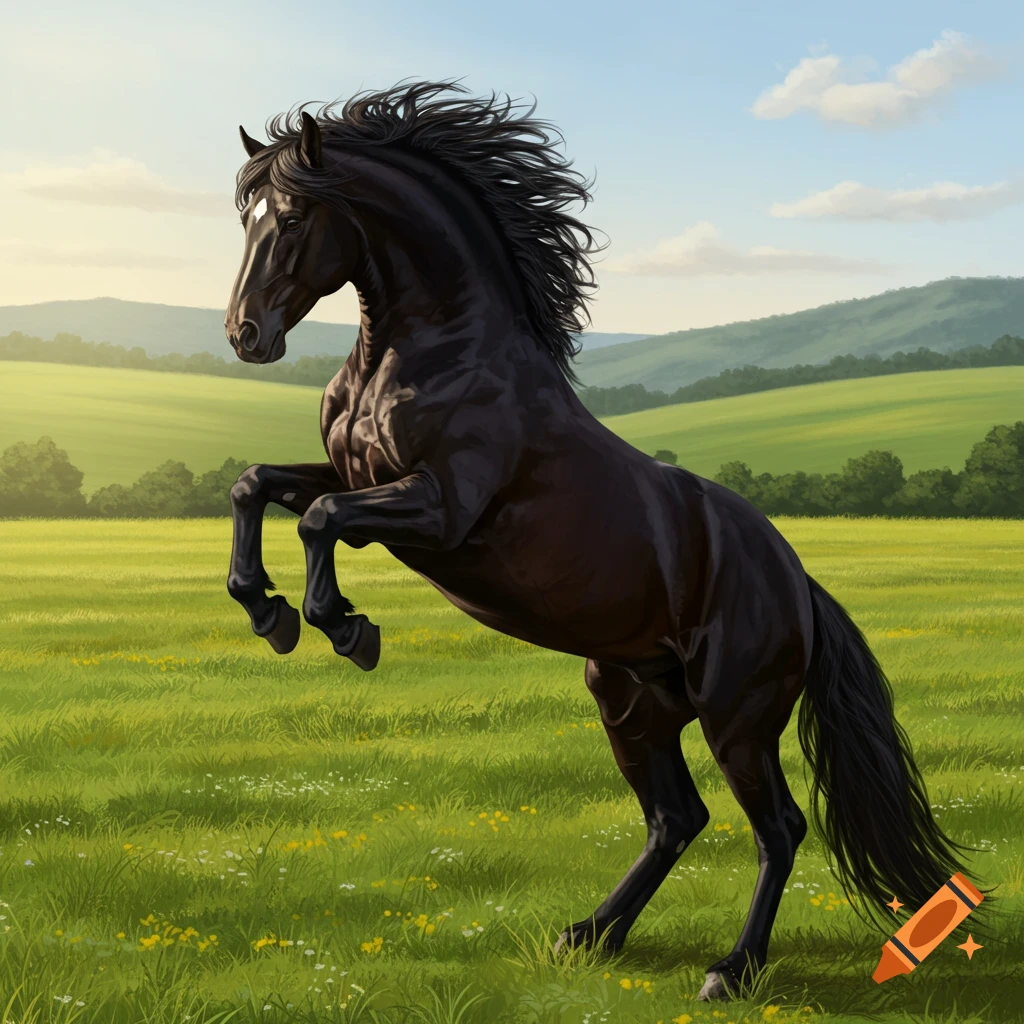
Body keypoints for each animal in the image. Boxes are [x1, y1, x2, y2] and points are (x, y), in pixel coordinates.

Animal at [223, 81, 980, 1000]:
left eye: (295, 216)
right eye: (246, 215)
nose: (244, 335)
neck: (427, 353)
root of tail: (799, 583)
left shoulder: (442, 511)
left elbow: (320, 517)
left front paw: (344, 628)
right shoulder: (354, 475)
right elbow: (257, 484)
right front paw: (268, 613)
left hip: (737, 714)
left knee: (779, 825)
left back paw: (730, 971)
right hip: (629, 699)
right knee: (676, 817)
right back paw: (588, 936)